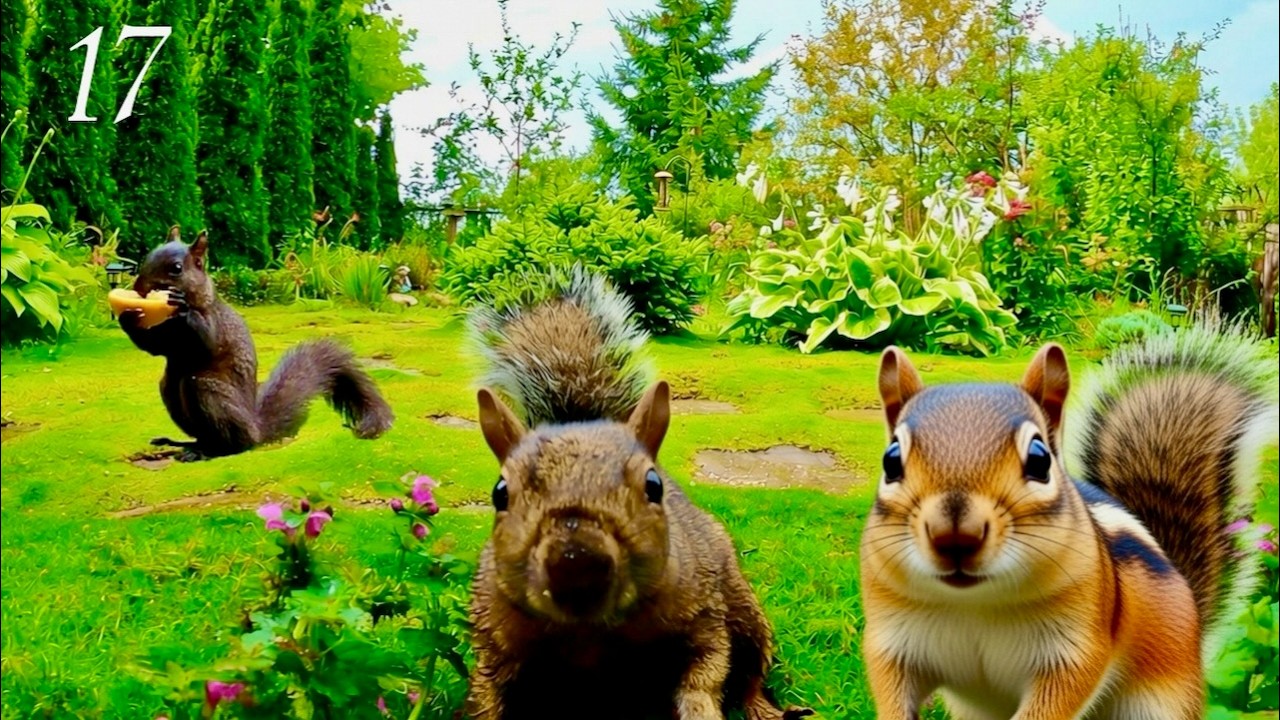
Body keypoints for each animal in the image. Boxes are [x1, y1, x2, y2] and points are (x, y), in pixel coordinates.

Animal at [118, 226, 394, 461]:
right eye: (148, 255)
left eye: (176, 268)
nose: (139, 288)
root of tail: (256, 429)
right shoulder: (165, 338)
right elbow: (152, 346)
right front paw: (127, 314)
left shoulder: (216, 324)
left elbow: (207, 341)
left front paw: (182, 308)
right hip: (169, 389)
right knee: (203, 435)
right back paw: (182, 444)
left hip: (207, 390)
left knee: (234, 445)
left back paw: (204, 452)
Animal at [463, 270, 810, 720]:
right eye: (500, 492)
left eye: (653, 485)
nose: (577, 563)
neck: (591, 633)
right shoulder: (495, 642)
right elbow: (487, 696)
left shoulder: (704, 615)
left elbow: (707, 671)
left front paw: (700, 707)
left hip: (745, 609)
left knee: (751, 669)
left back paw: (765, 708)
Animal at [859, 321, 1279, 719]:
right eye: (891, 461)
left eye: (1040, 459)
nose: (955, 537)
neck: (972, 603)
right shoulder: (891, 643)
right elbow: (889, 687)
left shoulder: (1077, 646)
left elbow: (1062, 693)